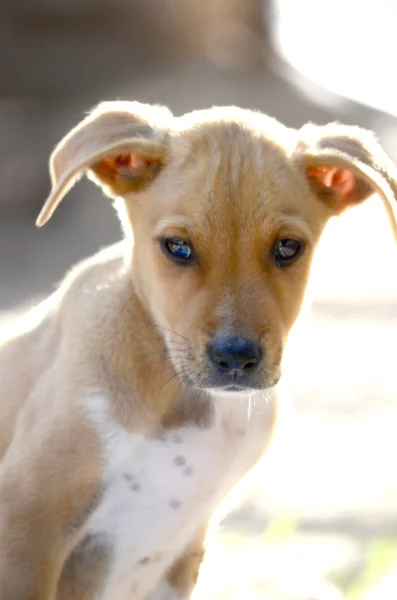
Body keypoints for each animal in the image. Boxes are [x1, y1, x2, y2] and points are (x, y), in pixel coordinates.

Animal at [0, 101, 396, 596]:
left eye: (288, 247)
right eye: (178, 247)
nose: (236, 358)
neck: (187, 400)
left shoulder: (186, 550)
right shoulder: (28, 525)